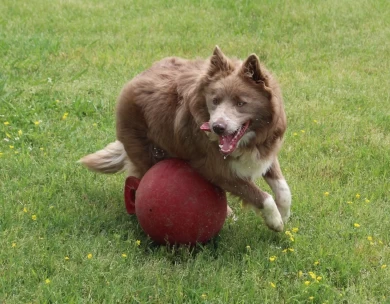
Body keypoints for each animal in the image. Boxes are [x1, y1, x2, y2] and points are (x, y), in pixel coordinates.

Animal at [80, 47, 292, 233]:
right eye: (215, 100)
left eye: (241, 103)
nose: (217, 127)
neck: (249, 140)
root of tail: (131, 82)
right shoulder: (215, 168)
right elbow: (261, 196)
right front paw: (275, 221)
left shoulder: (264, 149)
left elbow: (283, 189)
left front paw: (283, 213)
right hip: (147, 152)